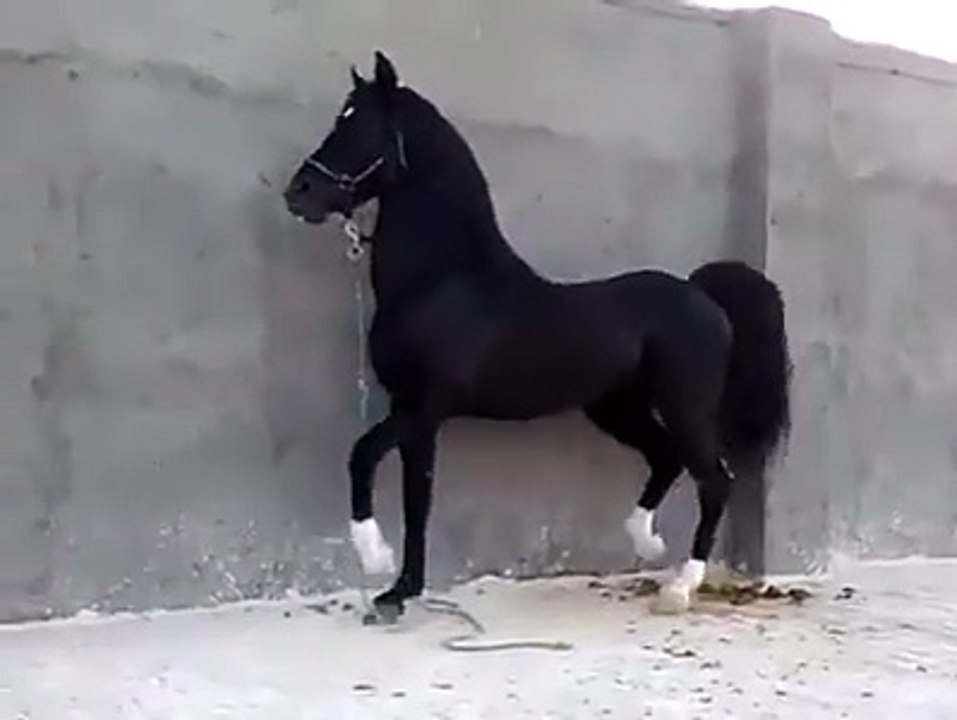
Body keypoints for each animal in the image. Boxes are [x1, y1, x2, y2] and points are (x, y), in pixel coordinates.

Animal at [283, 51, 791, 622]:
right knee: (667, 459)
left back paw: (680, 586)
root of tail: (703, 296)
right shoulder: (415, 415)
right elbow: (418, 500)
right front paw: (399, 591)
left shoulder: (425, 404)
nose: (298, 193)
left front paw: (375, 559)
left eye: (361, 125)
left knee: (714, 480)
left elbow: (362, 455)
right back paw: (646, 543)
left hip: (685, 408)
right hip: (616, 409)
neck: (443, 278)